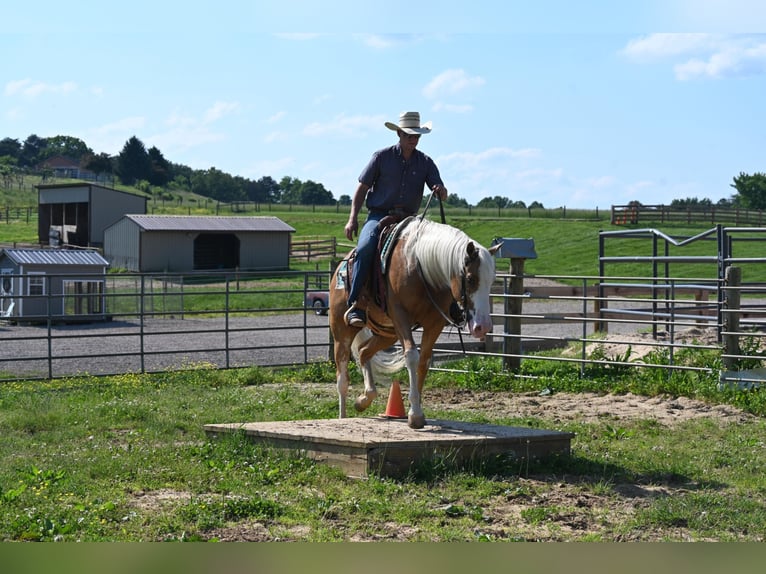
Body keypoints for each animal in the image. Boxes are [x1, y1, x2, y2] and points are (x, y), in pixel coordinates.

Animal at [332, 218, 504, 430]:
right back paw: (342, 417)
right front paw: (414, 413)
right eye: (471, 279)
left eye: (492, 280)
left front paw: (417, 413)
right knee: (342, 378)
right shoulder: (400, 316)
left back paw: (363, 400)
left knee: (364, 352)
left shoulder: (434, 323)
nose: (483, 327)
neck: (418, 265)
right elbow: (412, 356)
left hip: (387, 333)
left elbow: (423, 361)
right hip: (342, 331)